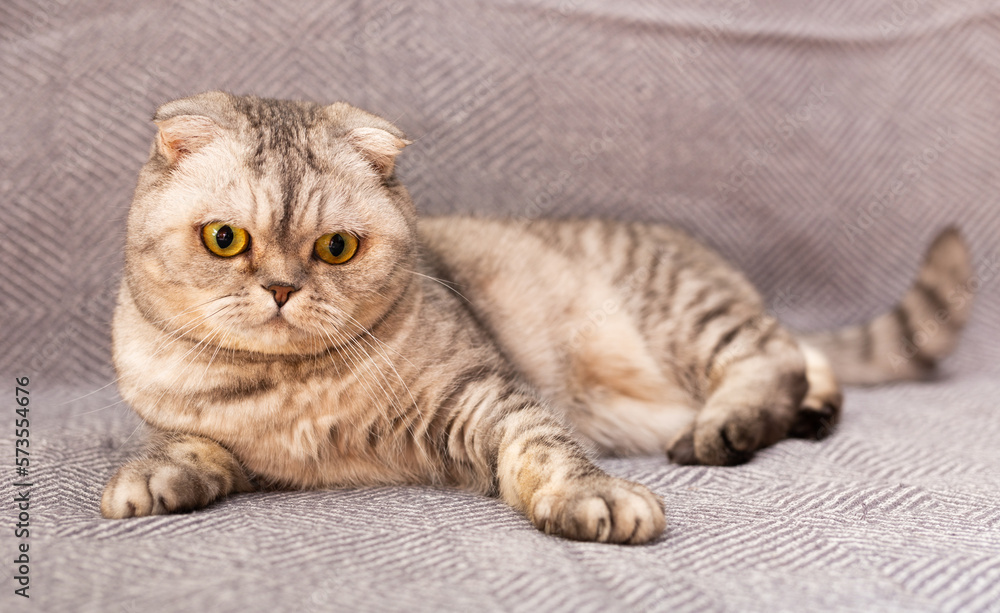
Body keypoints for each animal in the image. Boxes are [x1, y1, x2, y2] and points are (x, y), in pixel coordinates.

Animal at [99, 88, 968, 544]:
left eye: (336, 247)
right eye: (226, 239)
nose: (281, 288)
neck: (287, 390)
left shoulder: (482, 393)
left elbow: (546, 446)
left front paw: (598, 499)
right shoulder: (189, 422)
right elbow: (187, 446)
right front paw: (152, 478)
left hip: (684, 312)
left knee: (775, 356)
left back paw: (730, 427)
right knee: (803, 357)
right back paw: (810, 411)